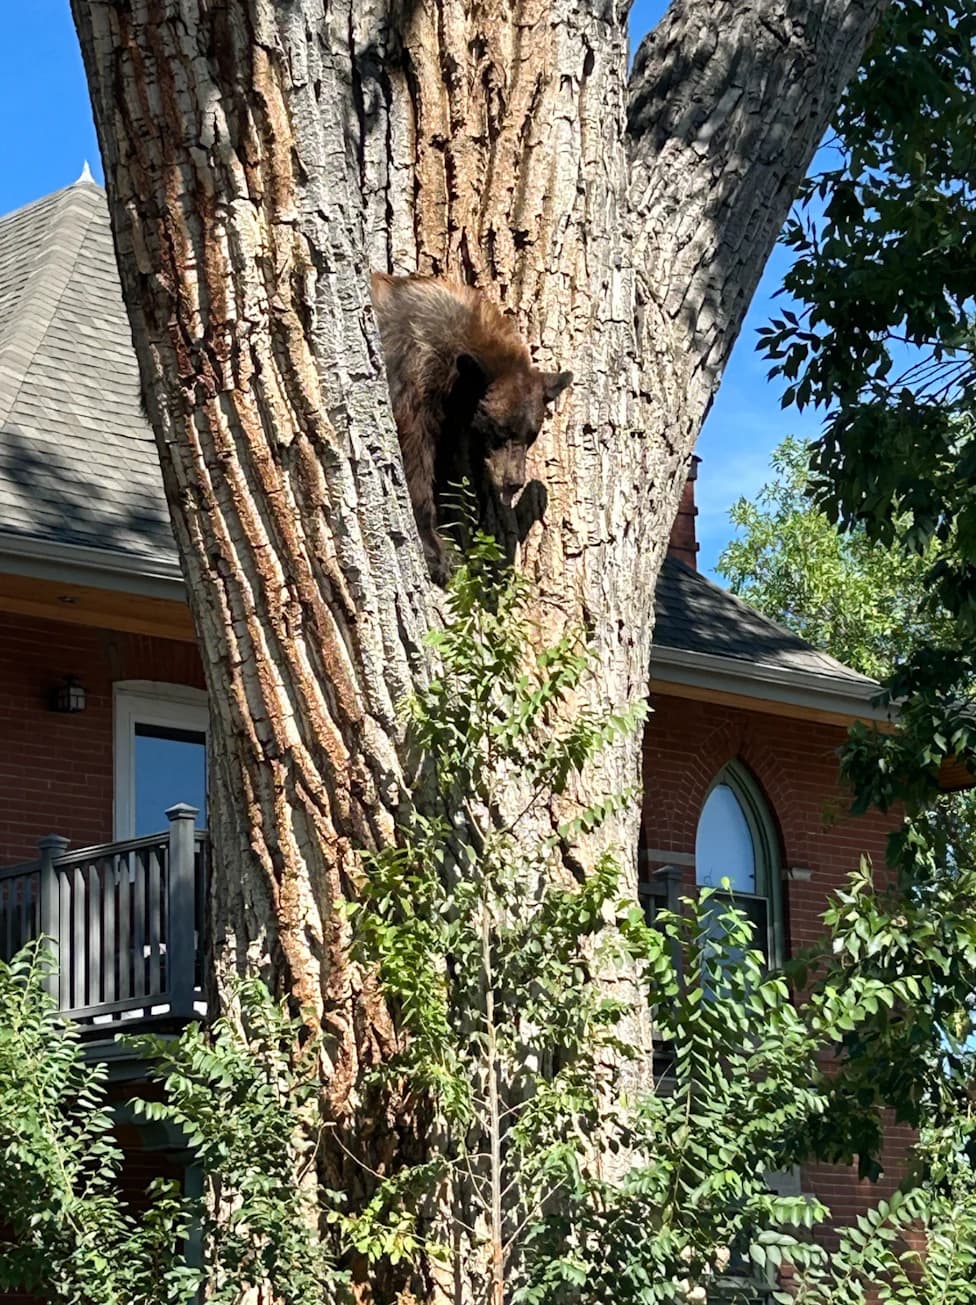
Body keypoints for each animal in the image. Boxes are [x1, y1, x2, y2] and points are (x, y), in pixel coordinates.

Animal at [370, 271, 572, 584]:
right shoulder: (413, 378)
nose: (513, 482)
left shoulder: (452, 413)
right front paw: (436, 553)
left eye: (531, 436)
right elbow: (415, 457)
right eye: (500, 432)